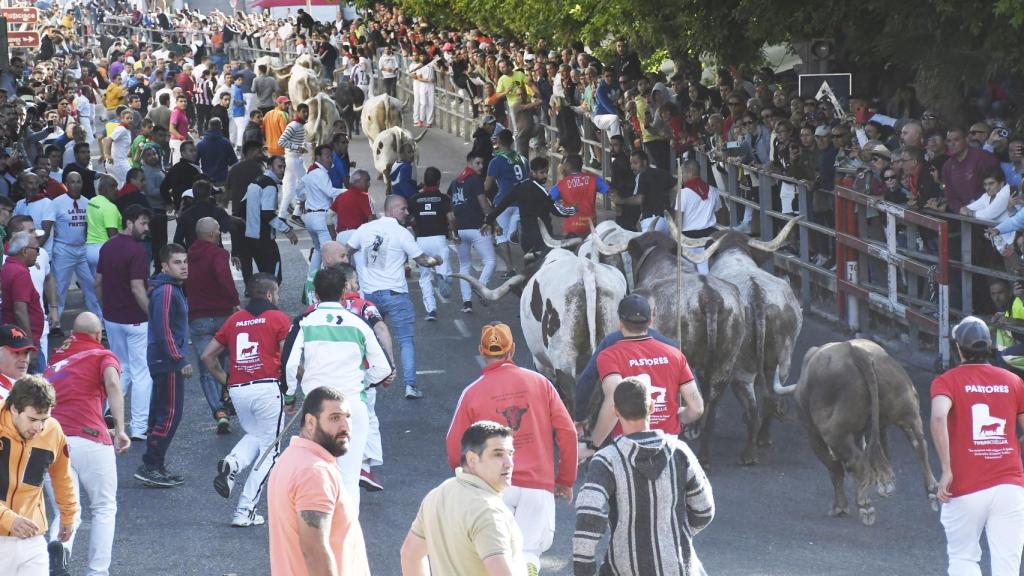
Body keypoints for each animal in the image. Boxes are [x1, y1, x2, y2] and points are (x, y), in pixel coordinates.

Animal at [778, 338, 937, 522]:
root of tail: (856, 352)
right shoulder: (875, 429)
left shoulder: (813, 435)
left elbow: (835, 469)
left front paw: (840, 507)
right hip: (908, 413)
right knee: (919, 445)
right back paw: (932, 491)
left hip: (834, 433)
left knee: (856, 461)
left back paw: (864, 506)